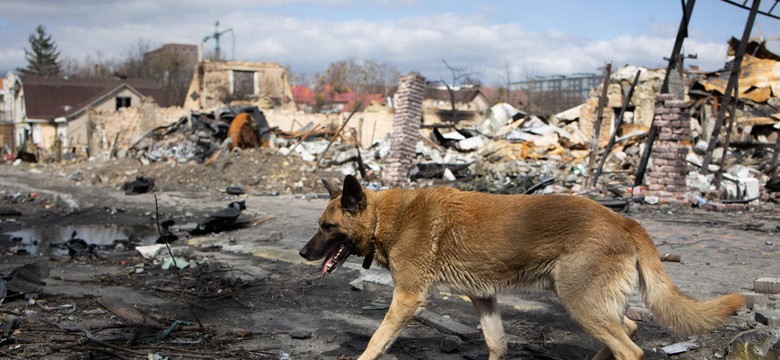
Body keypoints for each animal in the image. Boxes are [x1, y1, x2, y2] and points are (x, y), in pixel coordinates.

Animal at [298, 176, 744, 360]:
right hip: (594, 304)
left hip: (578, 301)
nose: (303, 252)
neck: (384, 220)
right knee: (629, 331)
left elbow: (376, 342)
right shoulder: (484, 298)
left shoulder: (408, 300)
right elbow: (496, 344)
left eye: (326, 227)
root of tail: (626, 221)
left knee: (631, 348)